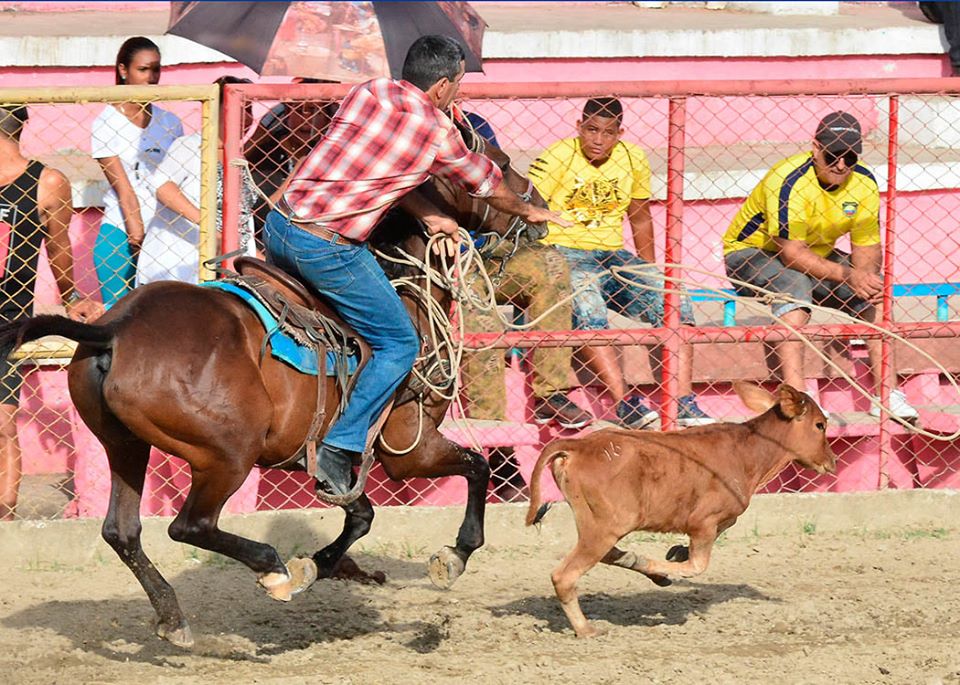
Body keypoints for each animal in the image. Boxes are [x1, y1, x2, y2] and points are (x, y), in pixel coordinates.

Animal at [0, 130, 544, 648]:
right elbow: (477, 468)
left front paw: (321, 564)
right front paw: (455, 554)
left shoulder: (328, 457)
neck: (404, 292)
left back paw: (174, 617)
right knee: (189, 525)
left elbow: (362, 513)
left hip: (125, 445)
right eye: (501, 163)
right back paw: (270, 569)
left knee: (123, 531)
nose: (537, 211)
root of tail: (116, 328)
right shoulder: (408, 448)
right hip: (227, 453)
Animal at [528, 380, 836, 636]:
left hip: (600, 527)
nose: (831, 461)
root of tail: (579, 445)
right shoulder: (704, 521)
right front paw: (666, 567)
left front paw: (673, 556)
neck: (748, 452)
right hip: (603, 527)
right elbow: (696, 566)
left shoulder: (723, 521)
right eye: (819, 425)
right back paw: (587, 629)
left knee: (606, 555)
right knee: (564, 576)